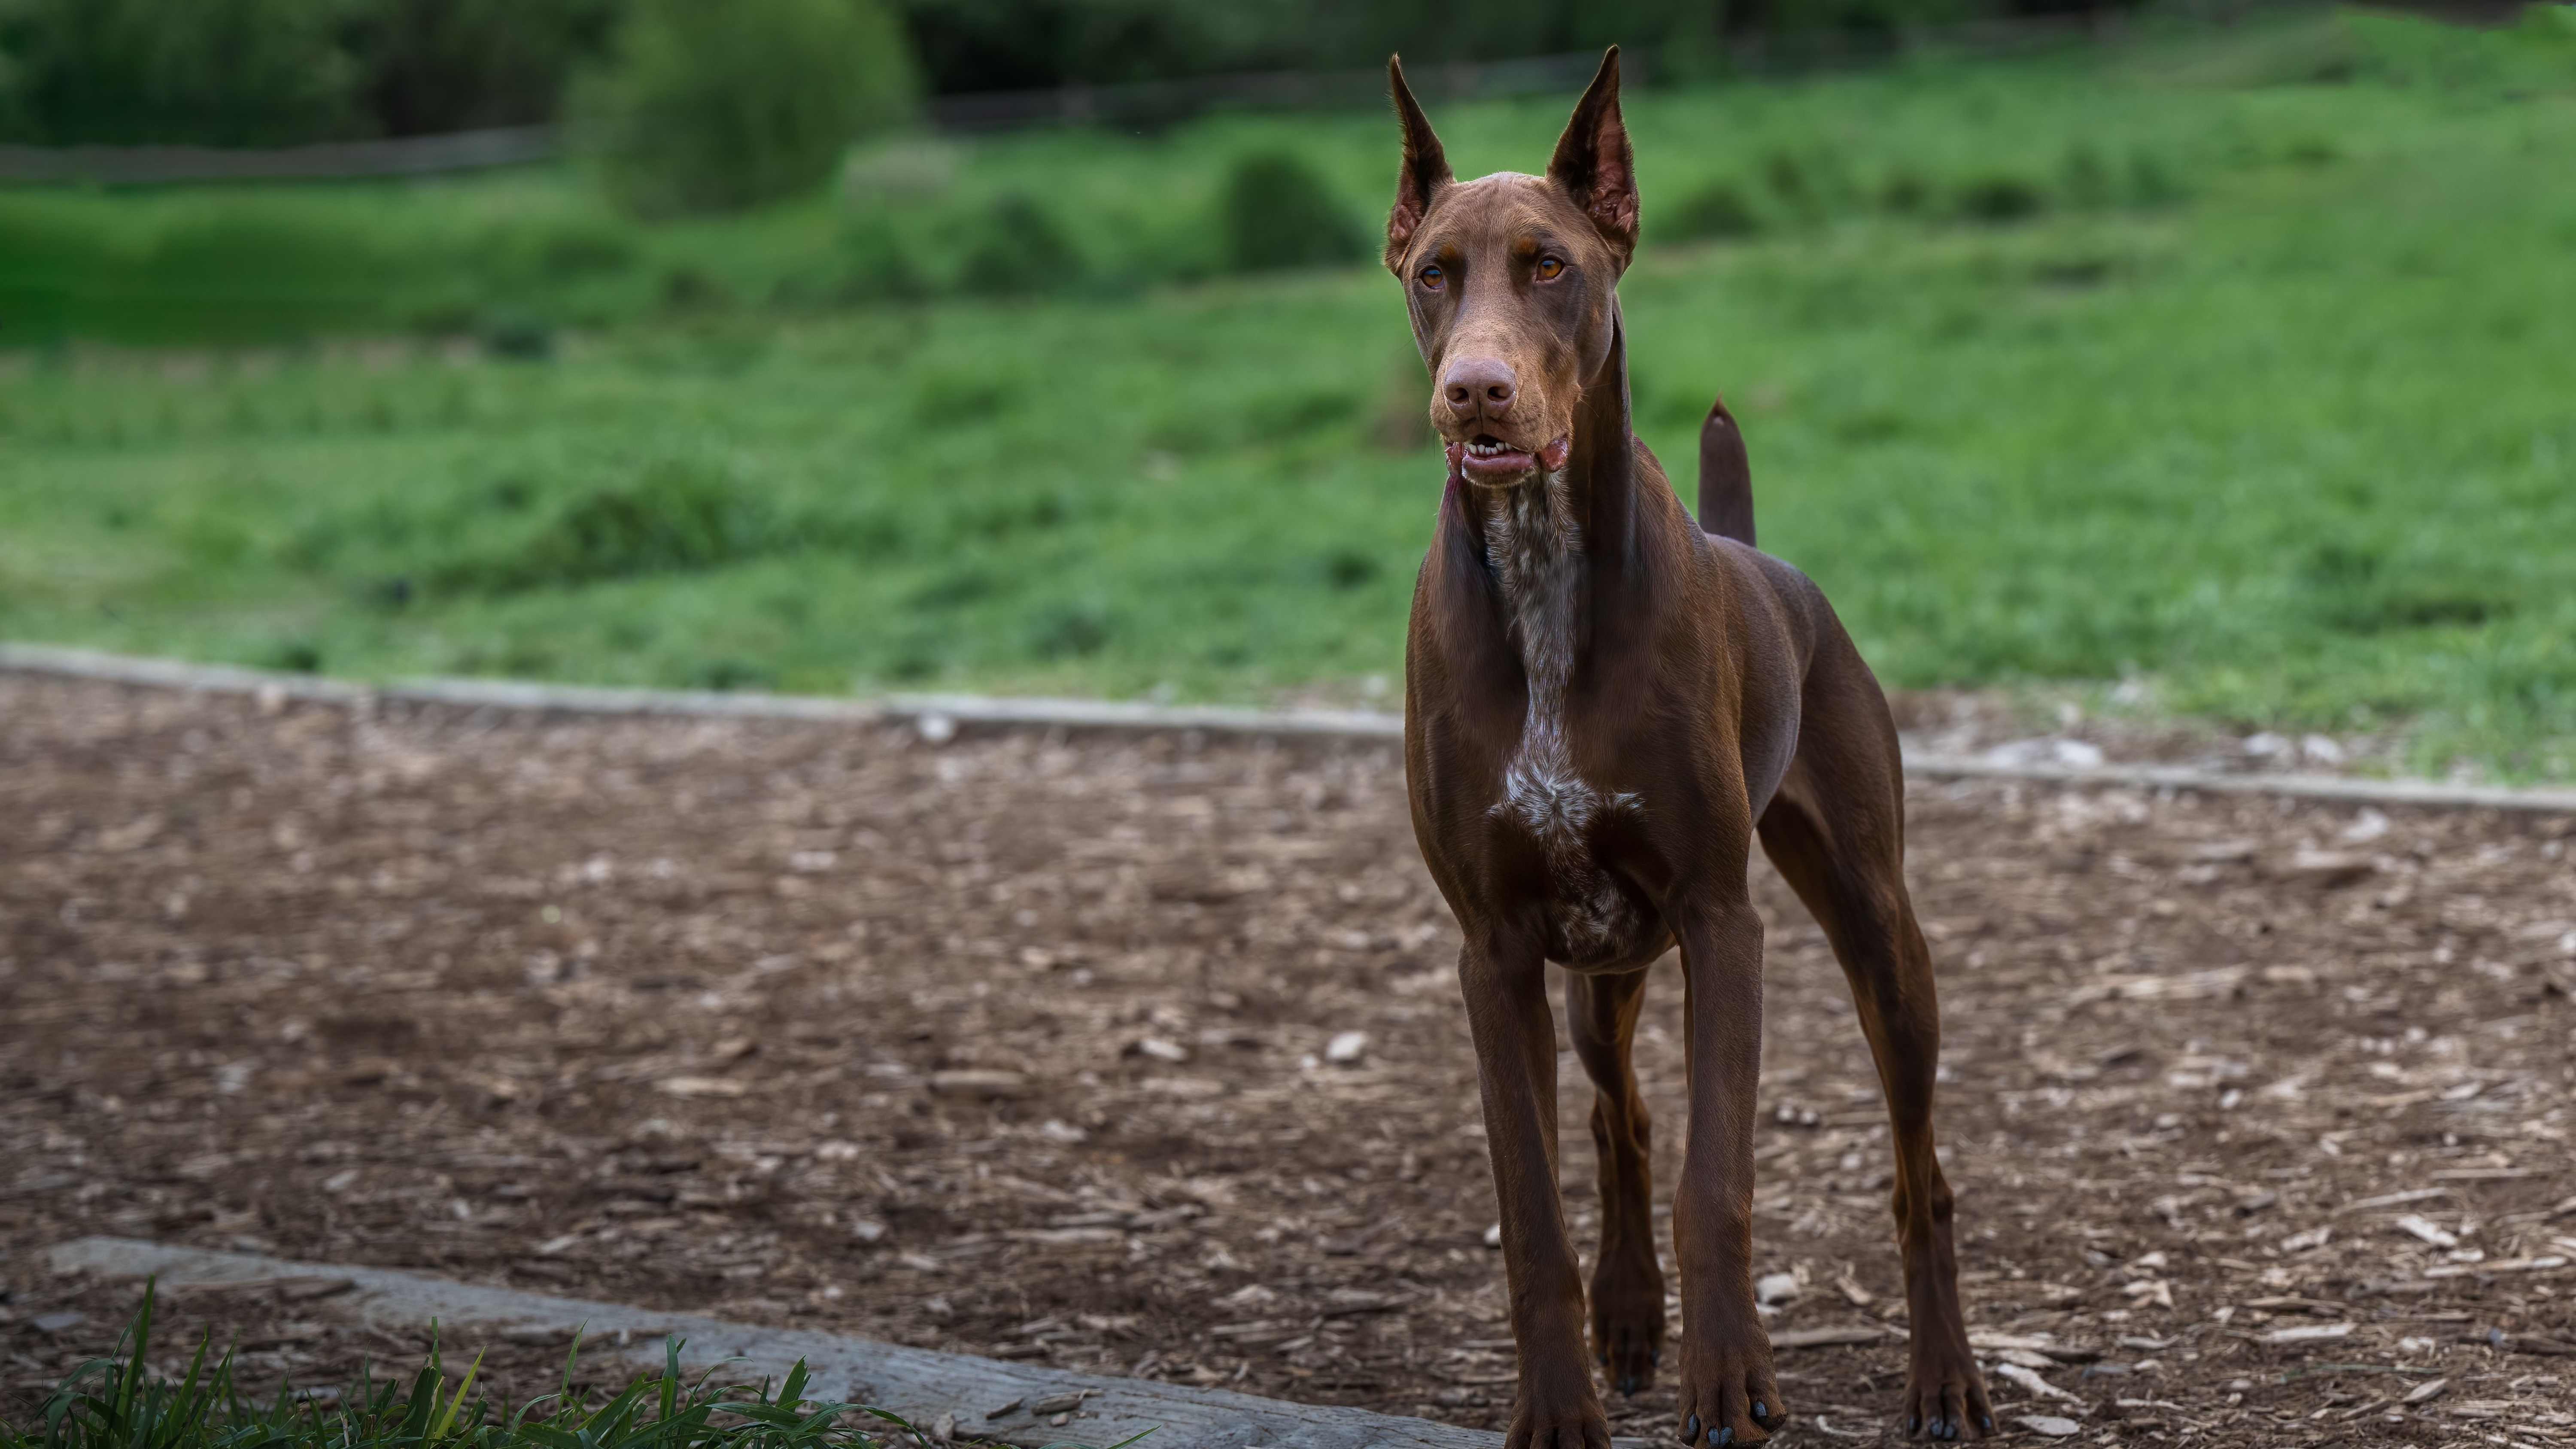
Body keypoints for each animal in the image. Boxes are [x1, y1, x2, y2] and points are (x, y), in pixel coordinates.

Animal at [1391, 45, 1989, 1443]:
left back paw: (1942, 1377)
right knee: (1621, 1119)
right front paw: (1561, 1398)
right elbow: (1534, 1211)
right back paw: (1625, 1313)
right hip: (1597, 969)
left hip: (1876, 933)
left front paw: (1729, 1376)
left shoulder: (1723, 921)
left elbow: (1717, 1181)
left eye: (1549, 266)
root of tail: (1758, 557)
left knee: (1917, 1175)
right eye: (1433, 272)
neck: (1542, 565)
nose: (1474, 392)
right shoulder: (1494, 954)